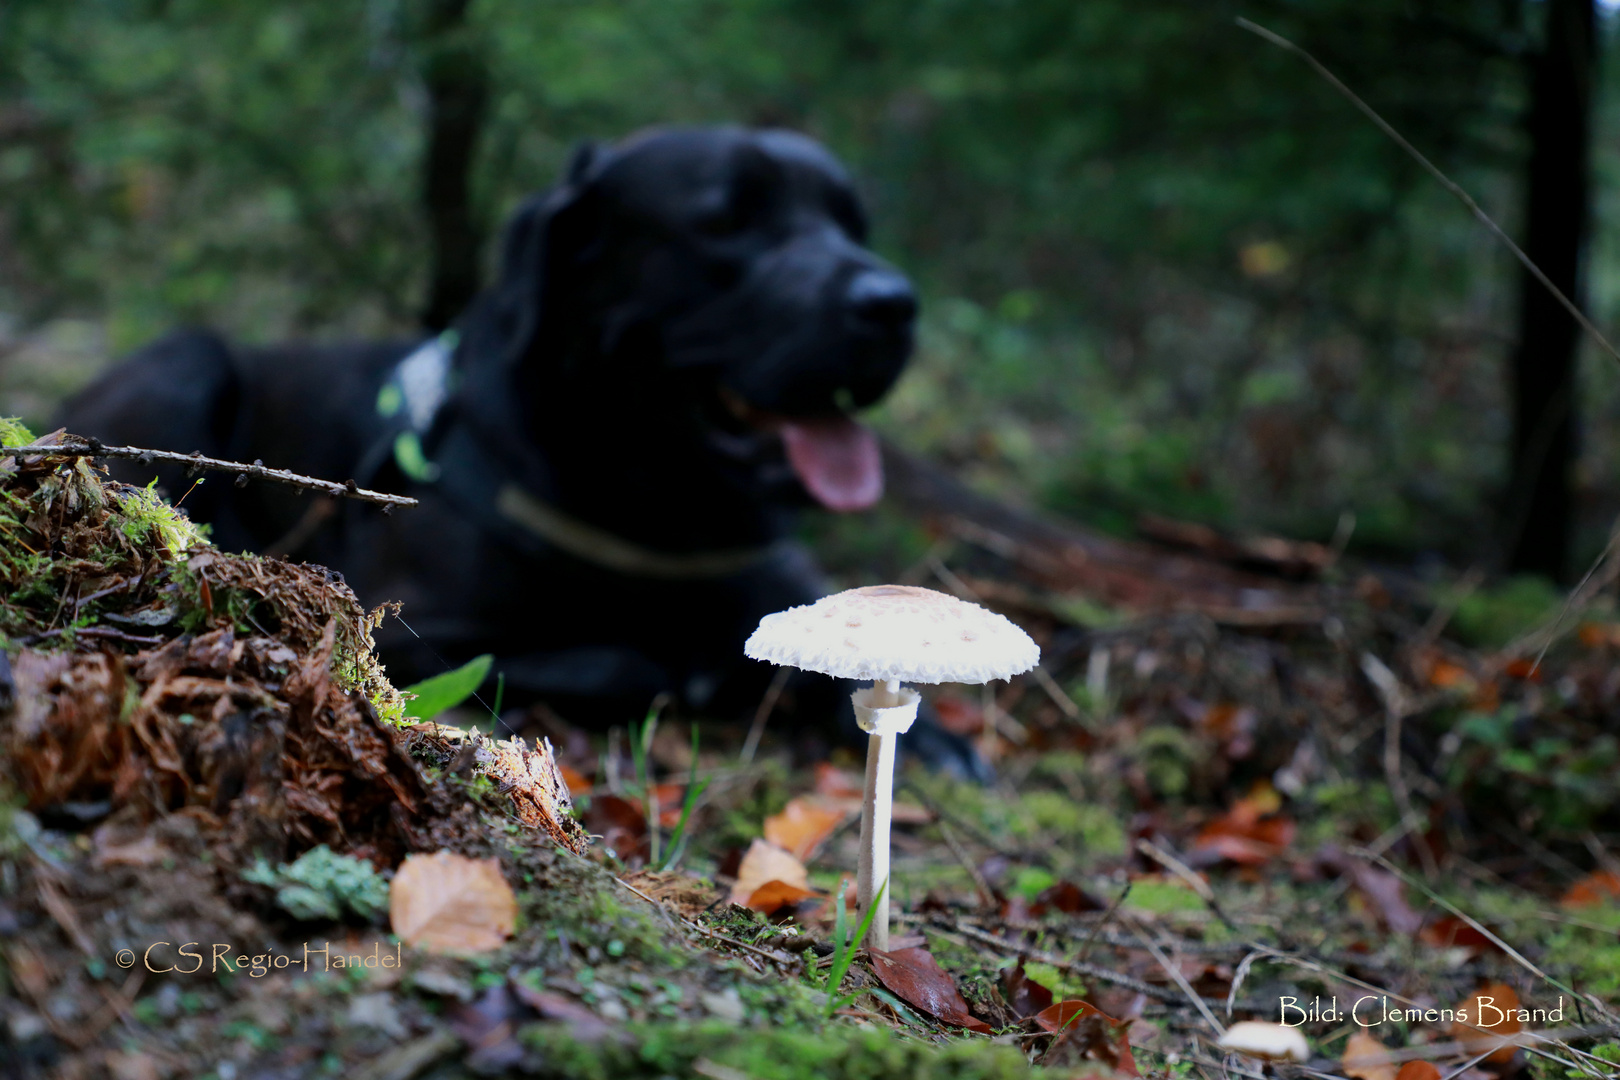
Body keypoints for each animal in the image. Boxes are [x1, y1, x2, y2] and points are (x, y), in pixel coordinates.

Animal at [59, 127, 972, 777]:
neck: (660, 509)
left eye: (854, 224)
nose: (893, 303)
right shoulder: (418, 628)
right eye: (725, 223)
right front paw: (689, 672)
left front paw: (934, 743)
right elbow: (628, 666)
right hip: (187, 359)